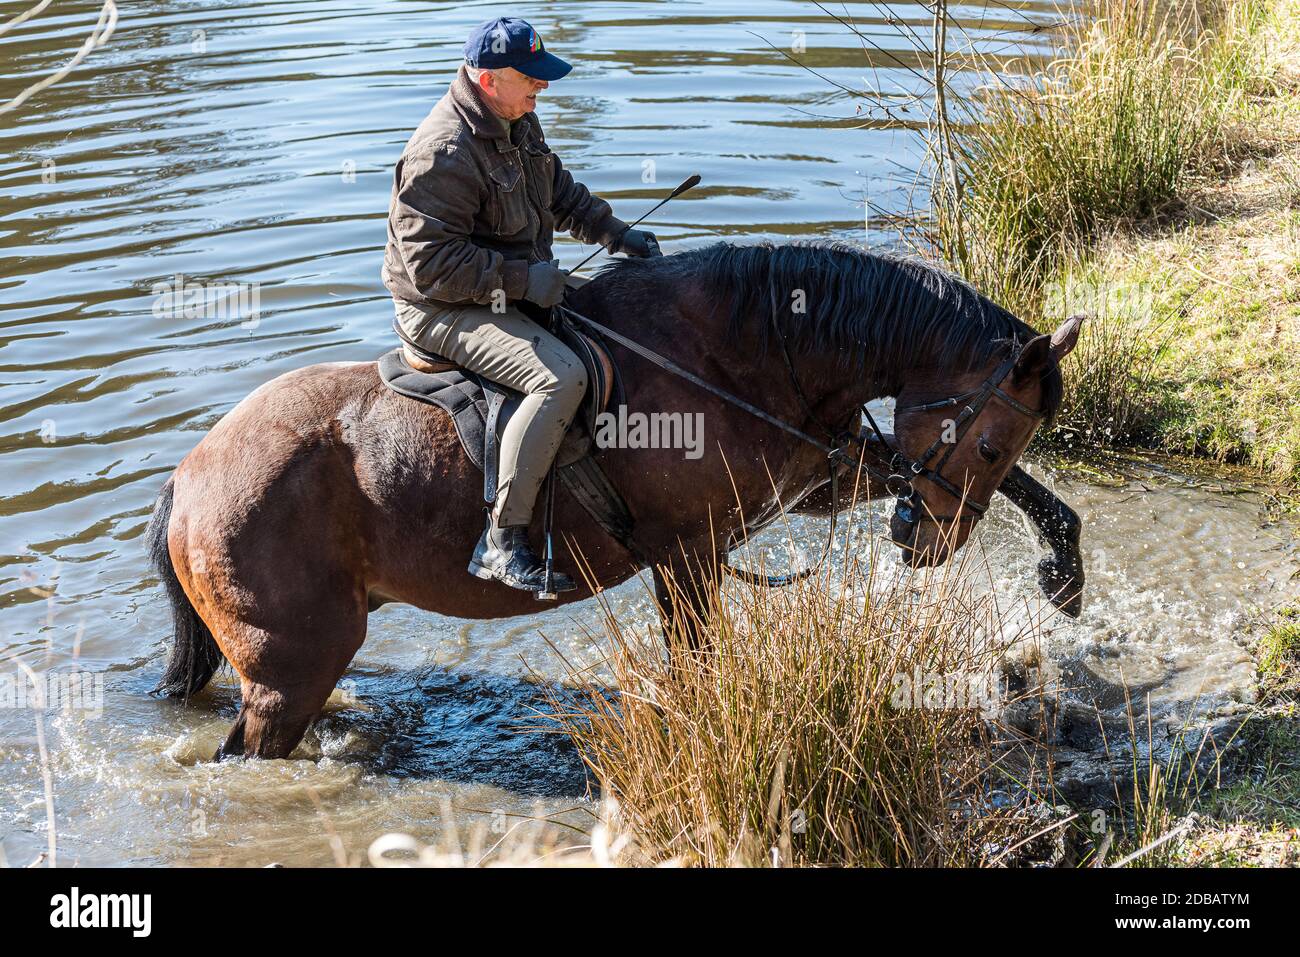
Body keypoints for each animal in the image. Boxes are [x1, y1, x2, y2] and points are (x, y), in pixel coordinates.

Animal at [142, 240, 1081, 764]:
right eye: (988, 443)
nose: (927, 543)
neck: (733, 351)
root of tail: (189, 475)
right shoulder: (689, 556)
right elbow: (699, 663)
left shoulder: (818, 478)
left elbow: (1034, 496)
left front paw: (1064, 570)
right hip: (289, 670)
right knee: (243, 753)